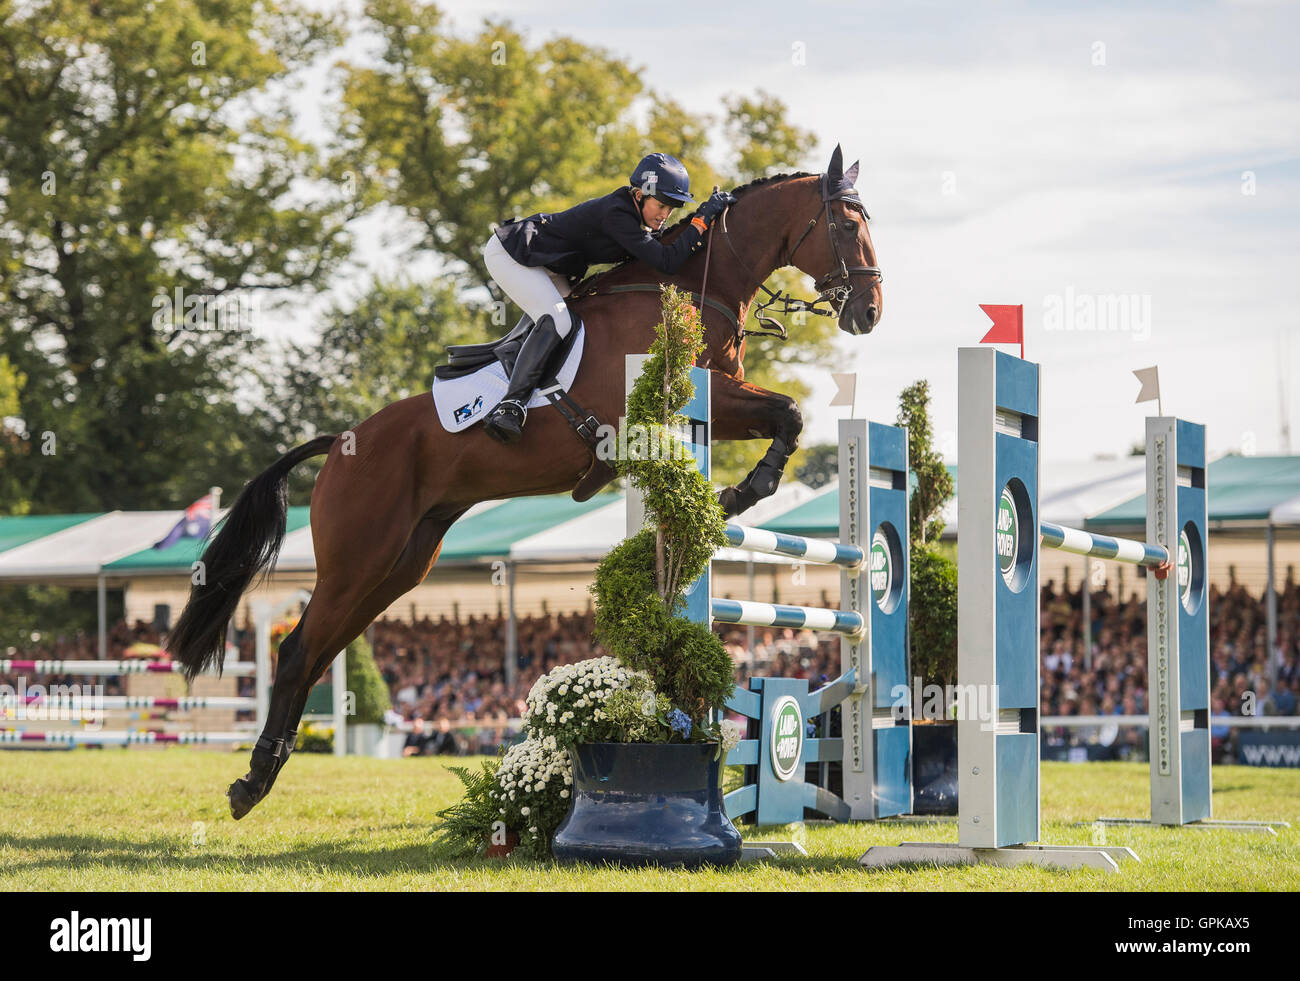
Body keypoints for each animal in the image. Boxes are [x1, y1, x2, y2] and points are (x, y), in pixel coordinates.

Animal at [170, 145, 883, 821]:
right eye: (849, 225)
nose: (870, 313)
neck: (692, 282)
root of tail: (340, 445)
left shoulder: (720, 399)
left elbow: (786, 413)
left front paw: (741, 490)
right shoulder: (675, 401)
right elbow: (786, 411)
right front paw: (742, 491)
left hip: (399, 565)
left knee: (323, 650)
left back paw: (267, 770)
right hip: (356, 558)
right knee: (298, 651)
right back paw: (251, 783)